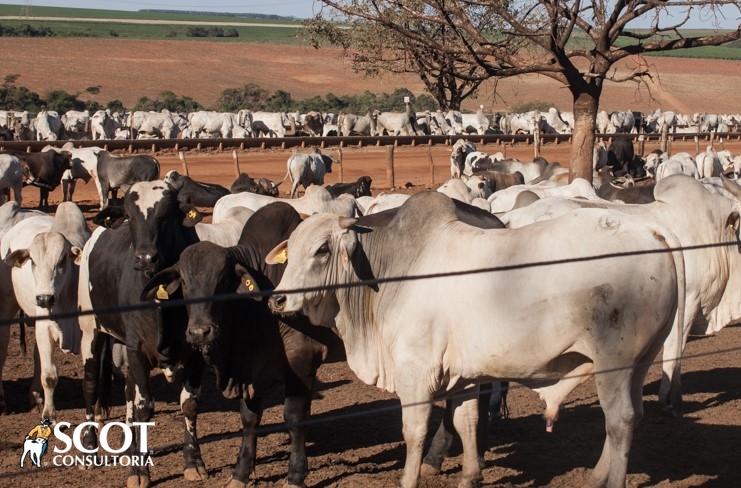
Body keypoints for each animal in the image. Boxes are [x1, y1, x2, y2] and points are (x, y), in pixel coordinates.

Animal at [83, 181, 199, 486]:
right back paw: (89, 448)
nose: (146, 257)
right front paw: (139, 472)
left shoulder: (195, 351)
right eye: (130, 217)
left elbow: (189, 404)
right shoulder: (136, 350)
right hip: (92, 332)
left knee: (128, 395)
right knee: (91, 385)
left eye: (165, 215)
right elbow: (145, 407)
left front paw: (194, 463)